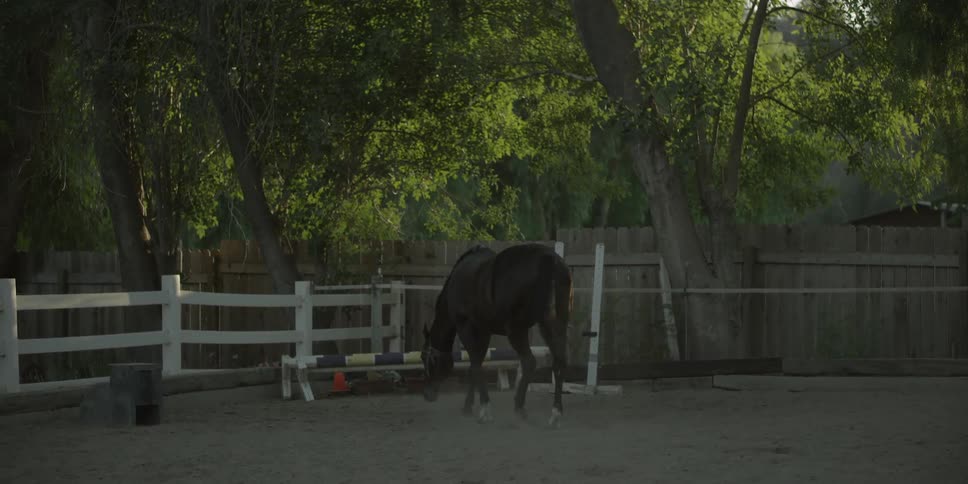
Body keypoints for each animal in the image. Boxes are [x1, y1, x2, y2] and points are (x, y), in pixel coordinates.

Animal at [420, 242, 573, 427]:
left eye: (424, 357)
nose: (427, 394)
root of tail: (550, 260)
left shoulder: (466, 327)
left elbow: (476, 365)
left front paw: (484, 408)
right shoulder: (484, 331)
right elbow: (475, 365)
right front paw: (468, 406)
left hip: (517, 329)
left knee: (529, 361)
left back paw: (519, 406)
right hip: (556, 324)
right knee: (559, 362)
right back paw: (555, 413)